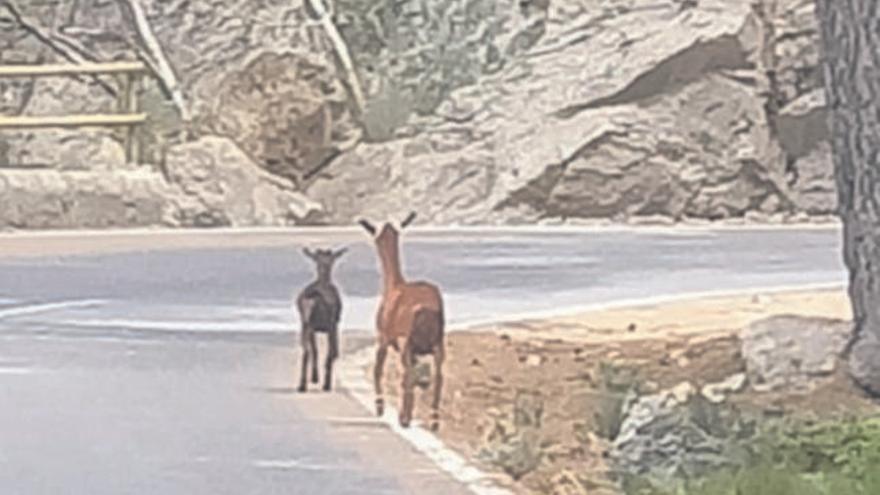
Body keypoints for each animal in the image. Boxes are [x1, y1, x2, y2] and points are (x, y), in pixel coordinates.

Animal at [300, 248, 348, 396]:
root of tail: (314, 297)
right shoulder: (334, 324)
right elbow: (334, 352)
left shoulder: (313, 328)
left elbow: (315, 350)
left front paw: (315, 377)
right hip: (330, 323)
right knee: (329, 353)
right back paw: (327, 384)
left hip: (305, 323)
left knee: (306, 351)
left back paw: (302, 385)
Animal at [358, 213, 446, 430]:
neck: (394, 286)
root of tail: (427, 309)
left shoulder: (383, 337)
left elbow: (378, 370)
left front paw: (380, 406)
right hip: (438, 342)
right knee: (438, 376)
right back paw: (433, 419)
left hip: (407, 341)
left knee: (408, 375)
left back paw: (404, 418)